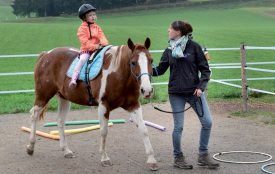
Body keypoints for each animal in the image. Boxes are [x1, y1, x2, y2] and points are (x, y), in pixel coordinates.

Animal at [27, 37, 160, 170]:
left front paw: (151, 160)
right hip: (43, 95)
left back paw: (66, 150)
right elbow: (104, 131)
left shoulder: (133, 106)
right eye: (133, 62)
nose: (147, 90)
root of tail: (46, 54)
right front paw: (104, 158)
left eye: (151, 60)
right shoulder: (103, 106)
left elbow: (144, 130)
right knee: (34, 115)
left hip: (64, 98)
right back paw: (30, 146)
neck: (117, 74)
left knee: (60, 121)